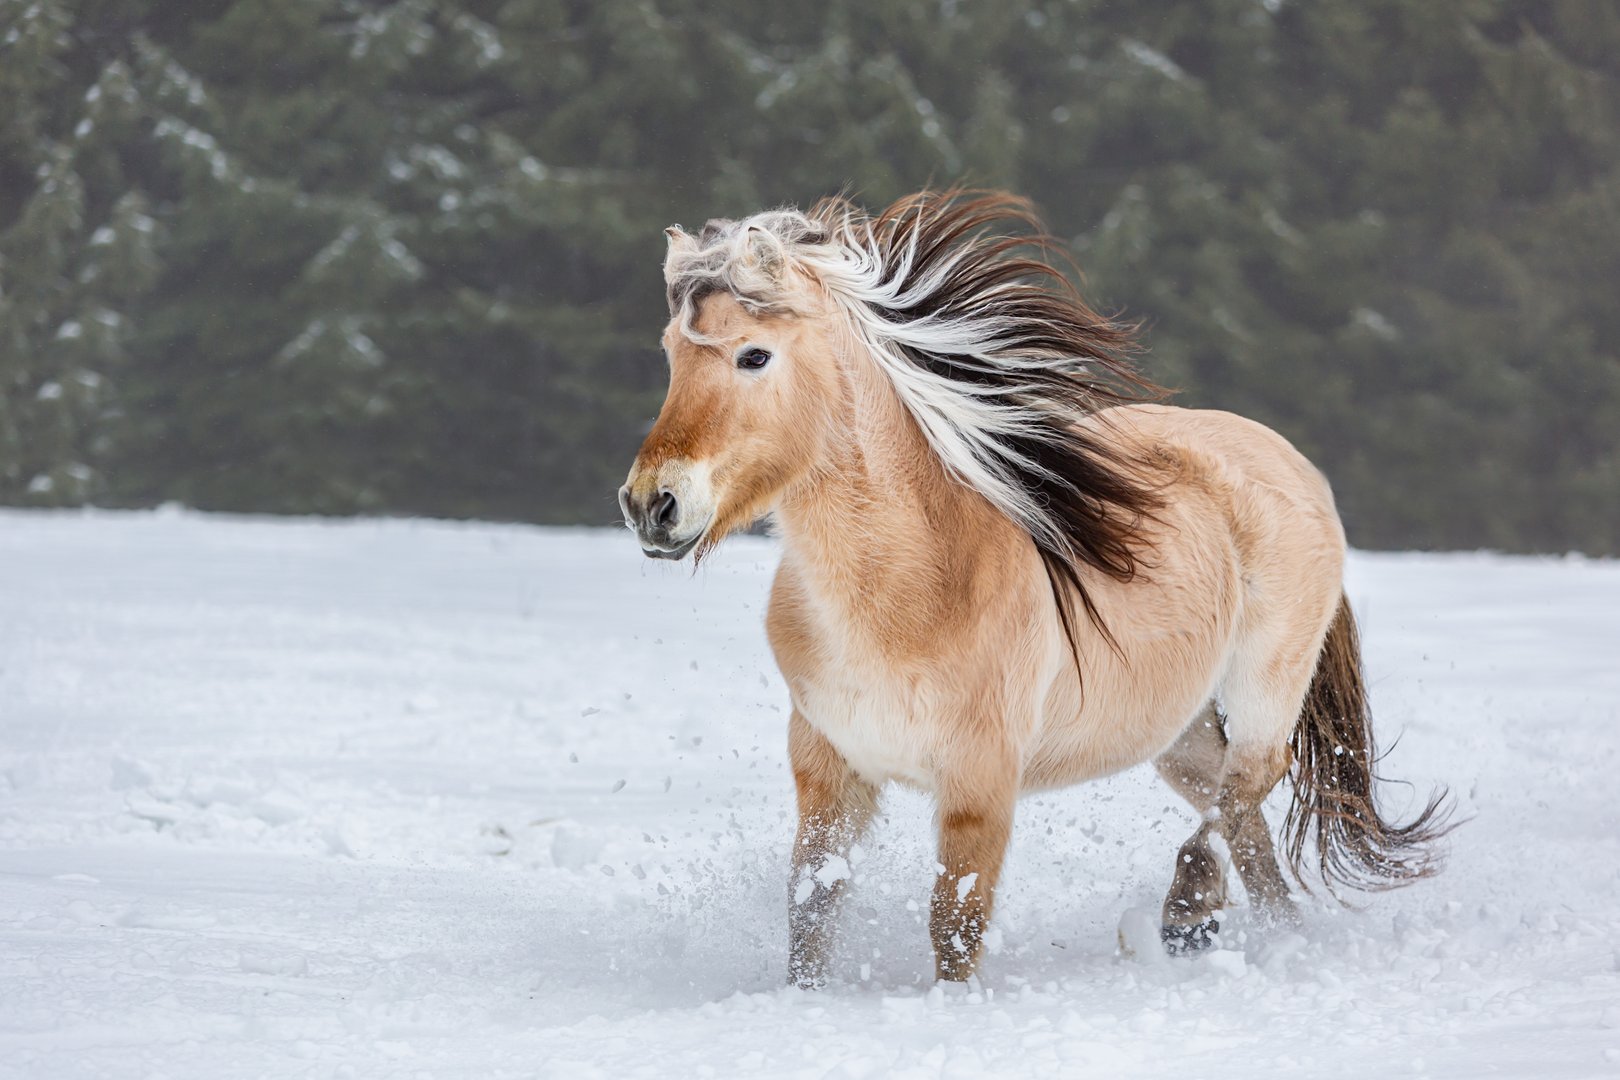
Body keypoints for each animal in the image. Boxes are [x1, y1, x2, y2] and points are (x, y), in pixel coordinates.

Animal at [619, 189, 1452, 986]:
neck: (908, 586)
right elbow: (812, 912)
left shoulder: (981, 783)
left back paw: (1187, 912)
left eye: (754, 355)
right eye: (670, 354)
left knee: (1250, 780)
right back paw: (1263, 938)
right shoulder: (829, 769)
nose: (652, 504)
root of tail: (1292, 460)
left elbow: (954, 927)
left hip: (1263, 685)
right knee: (1241, 820)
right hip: (1174, 730)